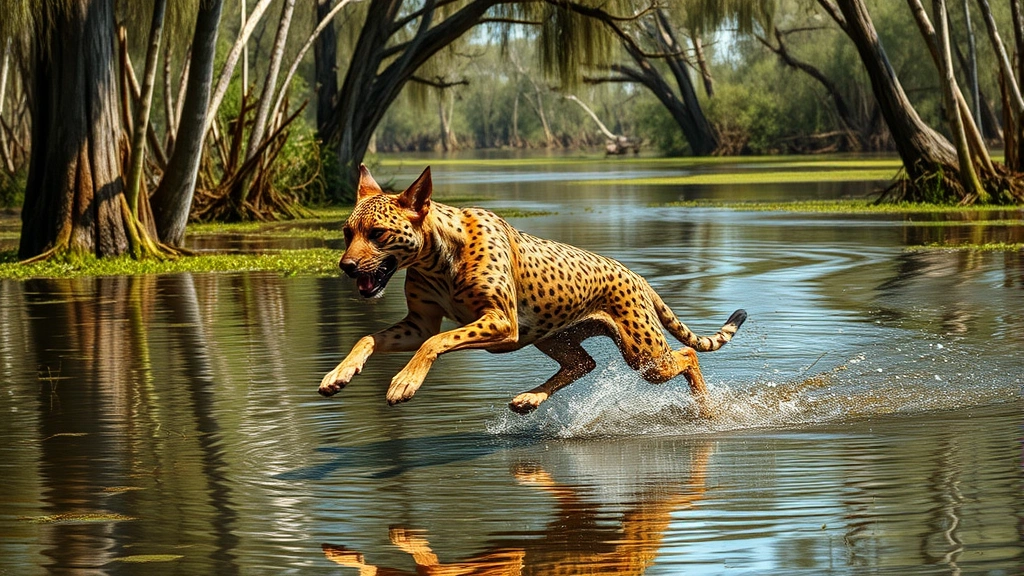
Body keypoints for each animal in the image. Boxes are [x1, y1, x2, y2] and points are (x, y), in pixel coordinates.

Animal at [318, 165, 747, 416]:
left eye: (378, 233)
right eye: (347, 233)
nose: (346, 266)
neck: (437, 256)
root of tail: (637, 276)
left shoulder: (500, 323)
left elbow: (435, 342)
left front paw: (404, 382)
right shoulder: (419, 323)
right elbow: (368, 337)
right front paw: (339, 374)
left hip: (644, 356)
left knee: (689, 355)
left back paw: (706, 409)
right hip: (552, 336)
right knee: (583, 363)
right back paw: (530, 398)